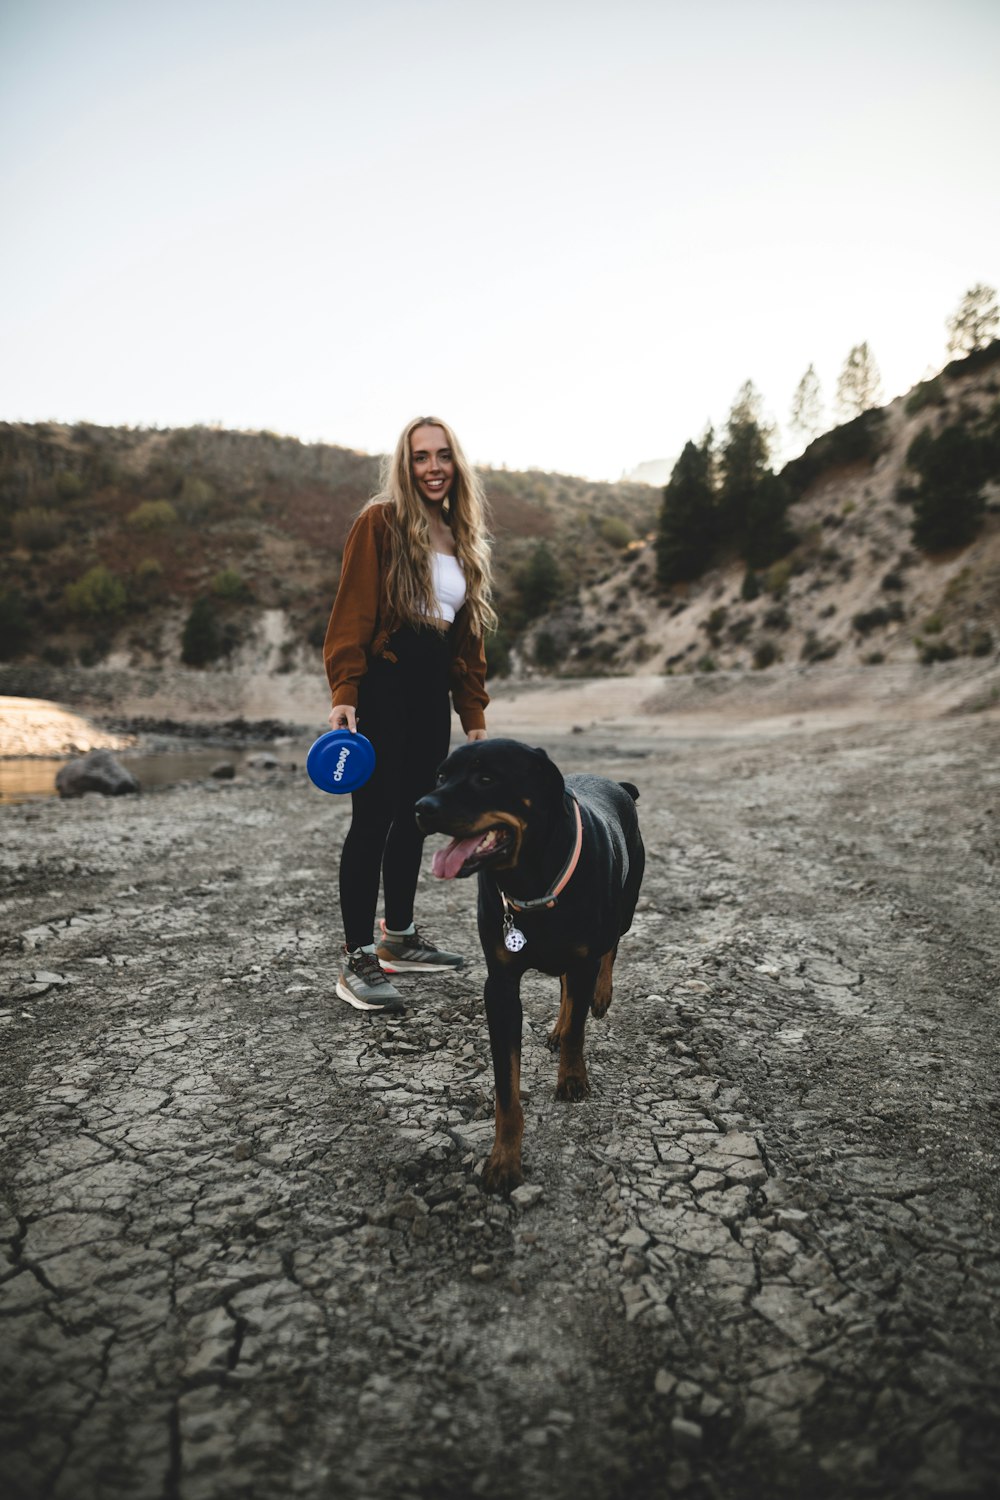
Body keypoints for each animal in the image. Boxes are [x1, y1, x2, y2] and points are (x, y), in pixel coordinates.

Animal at [413, 738, 641, 1194]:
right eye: (441, 775)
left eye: (486, 777)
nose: (421, 807)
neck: (530, 878)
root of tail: (619, 785)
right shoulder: (500, 986)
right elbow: (506, 1086)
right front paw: (504, 1160)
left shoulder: (585, 956)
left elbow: (578, 1027)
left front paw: (571, 1078)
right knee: (567, 986)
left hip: (624, 907)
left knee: (609, 950)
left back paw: (601, 996)